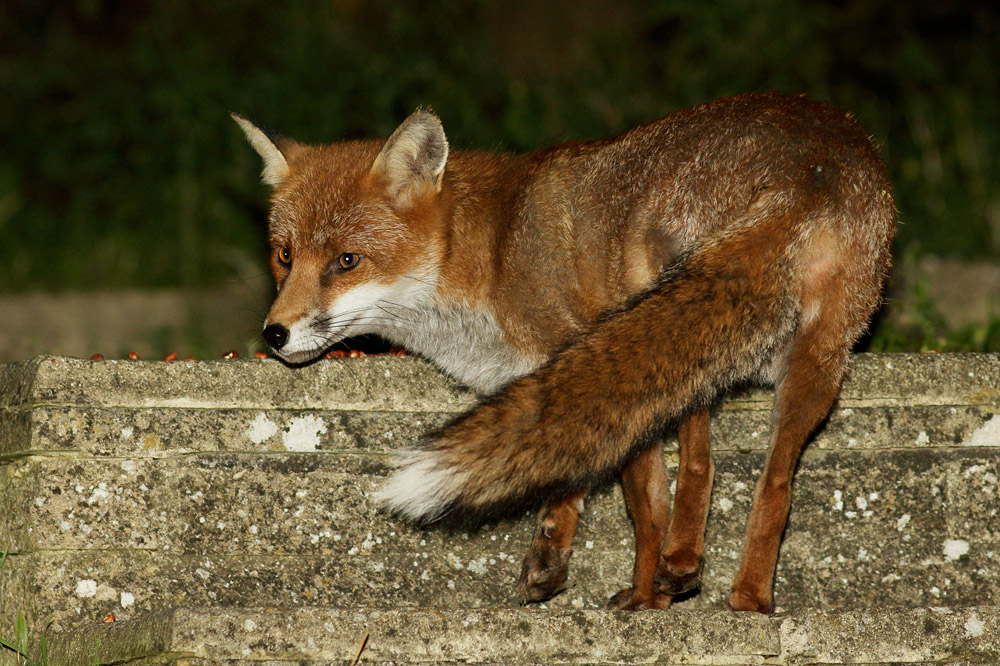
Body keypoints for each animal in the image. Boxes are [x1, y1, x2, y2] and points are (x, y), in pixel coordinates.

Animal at [233, 92, 895, 613]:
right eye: (285, 256)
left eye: (347, 261)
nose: (274, 333)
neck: (487, 261)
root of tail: (813, 163)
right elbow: (617, 485)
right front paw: (634, 590)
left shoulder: (581, 352)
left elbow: (638, 496)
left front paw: (625, 586)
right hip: (813, 361)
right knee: (775, 483)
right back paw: (748, 600)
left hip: (664, 298)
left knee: (700, 461)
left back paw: (682, 562)